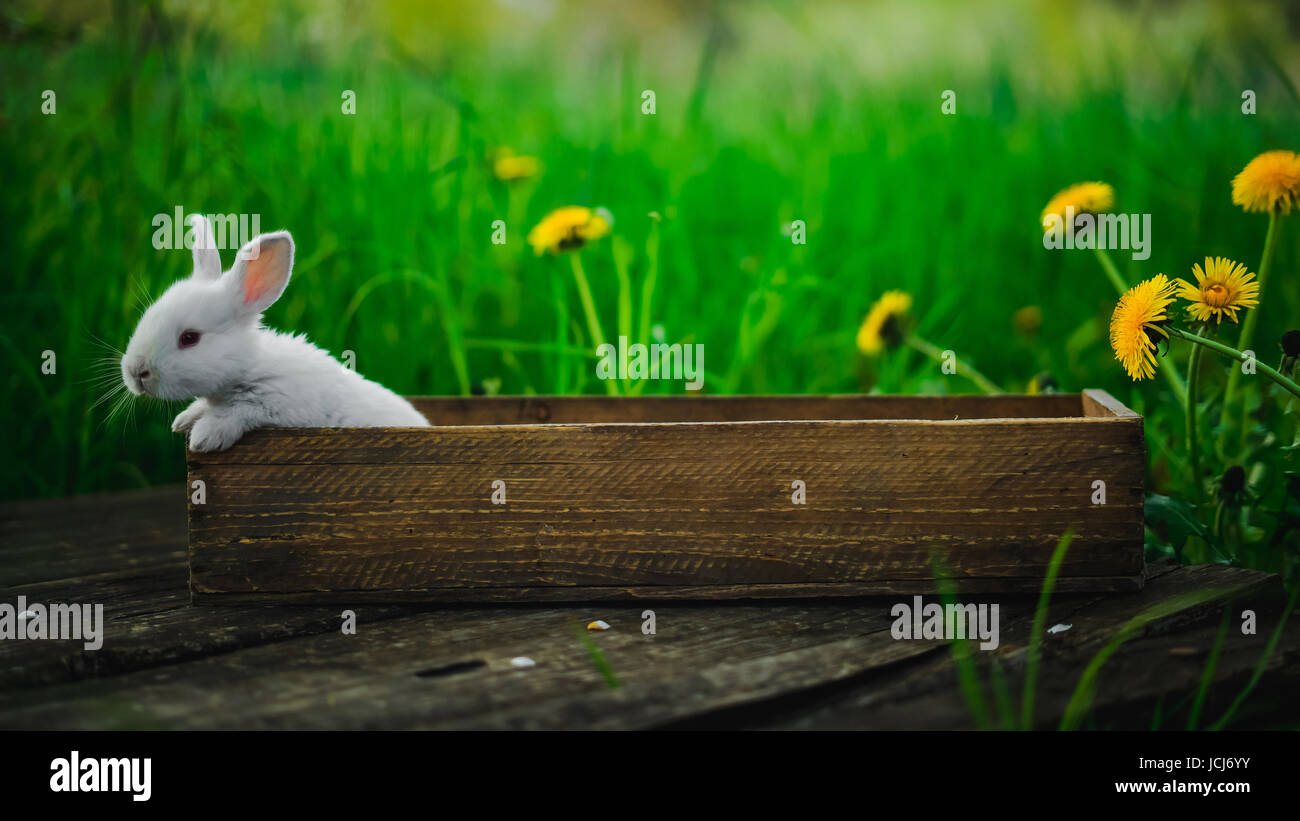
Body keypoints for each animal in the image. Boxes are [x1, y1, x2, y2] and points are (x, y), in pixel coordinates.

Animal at [122, 214, 428, 452]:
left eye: (189, 338)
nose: (136, 371)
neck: (250, 367)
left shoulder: (278, 406)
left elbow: (237, 412)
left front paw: (204, 437)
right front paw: (183, 421)